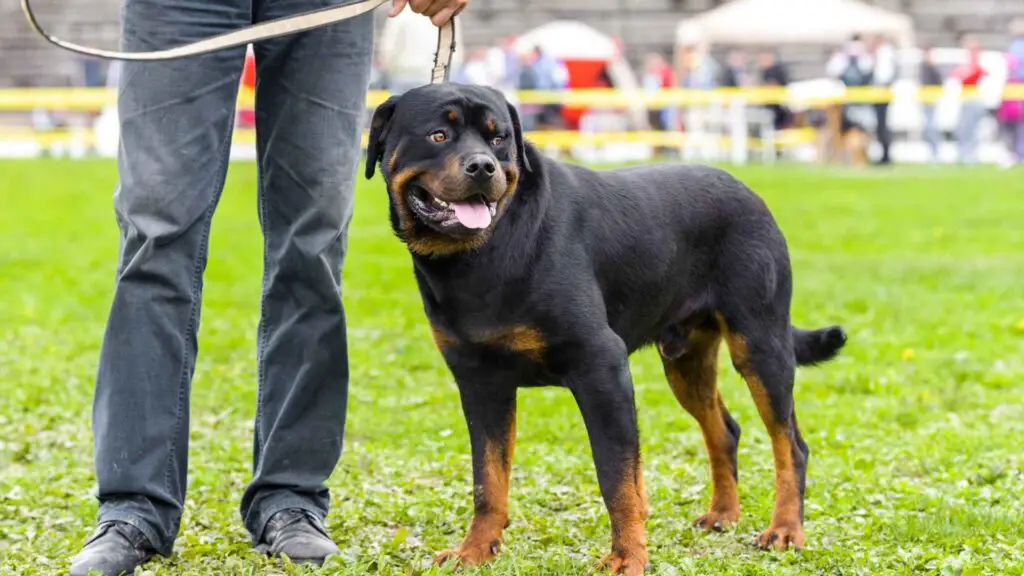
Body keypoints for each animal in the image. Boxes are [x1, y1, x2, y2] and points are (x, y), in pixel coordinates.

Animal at [366, 83, 847, 569]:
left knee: (790, 444)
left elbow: (616, 478)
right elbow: (488, 478)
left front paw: (626, 557)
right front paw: (475, 550)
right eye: (438, 136)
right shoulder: (480, 383)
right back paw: (723, 515)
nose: (483, 166)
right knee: (725, 431)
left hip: (760, 344)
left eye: (498, 138)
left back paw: (785, 530)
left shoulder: (601, 368)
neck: (481, 254)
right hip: (686, 362)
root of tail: (750, 193)